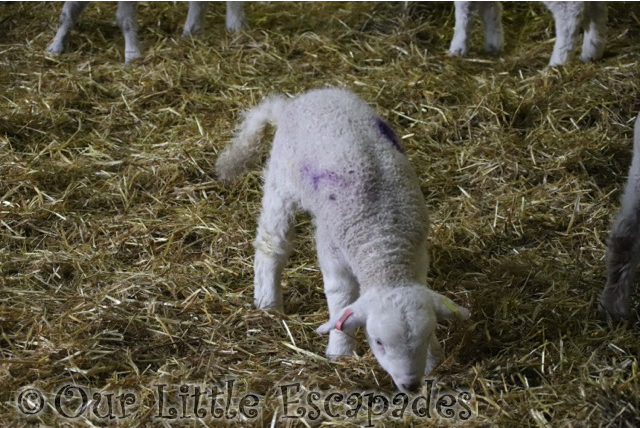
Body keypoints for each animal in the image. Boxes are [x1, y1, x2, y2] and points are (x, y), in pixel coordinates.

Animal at [46, 0, 246, 64]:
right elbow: (69, 11)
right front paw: (55, 47)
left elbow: (124, 17)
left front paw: (132, 55)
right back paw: (192, 31)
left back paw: (236, 27)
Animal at [215, 88, 470, 394]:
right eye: (378, 342)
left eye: (428, 332)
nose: (410, 385)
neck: (383, 244)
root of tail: (298, 100)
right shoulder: (333, 252)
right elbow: (341, 297)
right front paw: (340, 352)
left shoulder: (418, 257)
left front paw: (433, 360)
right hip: (281, 180)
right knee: (271, 244)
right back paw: (268, 305)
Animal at [448, 1, 608, 66]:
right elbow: (490, 7)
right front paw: (493, 44)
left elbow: (464, 7)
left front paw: (457, 47)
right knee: (598, 10)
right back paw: (591, 52)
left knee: (569, 10)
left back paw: (557, 64)